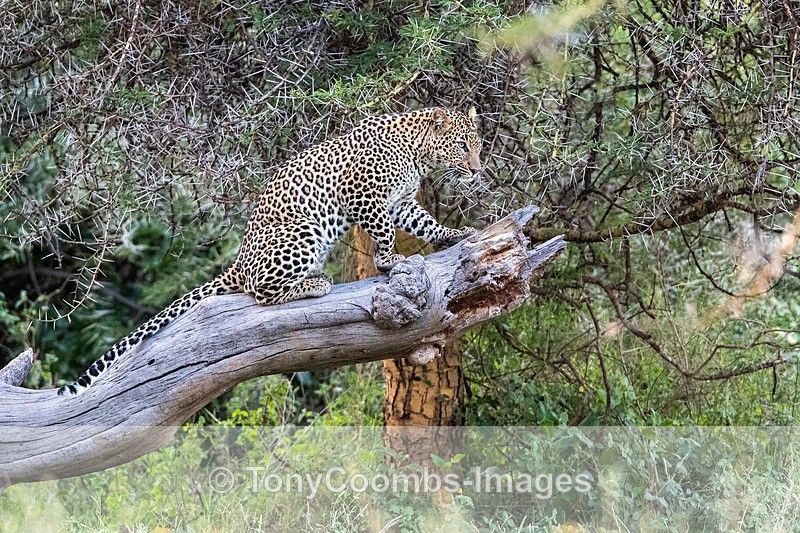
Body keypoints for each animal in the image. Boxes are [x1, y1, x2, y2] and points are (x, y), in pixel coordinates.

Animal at [58, 106, 482, 395]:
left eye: (477, 146)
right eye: (462, 146)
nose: (478, 170)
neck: (418, 154)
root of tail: (238, 262)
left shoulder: (402, 203)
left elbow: (425, 223)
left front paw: (455, 234)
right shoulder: (362, 196)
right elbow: (384, 232)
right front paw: (388, 259)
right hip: (303, 230)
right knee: (260, 291)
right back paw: (315, 283)